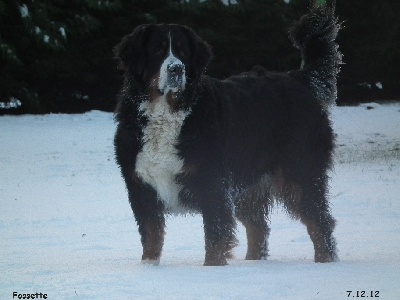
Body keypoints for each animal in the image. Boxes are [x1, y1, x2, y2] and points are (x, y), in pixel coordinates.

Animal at [112, 2, 340, 264]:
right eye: (157, 50)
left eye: (183, 52)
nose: (176, 69)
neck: (167, 113)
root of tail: (299, 78)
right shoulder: (140, 188)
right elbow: (151, 237)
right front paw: (148, 268)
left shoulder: (212, 184)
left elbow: (215, 237)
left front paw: (212, 269)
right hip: (247, 184)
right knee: (259, 228)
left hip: (300, 173)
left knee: (320, 222)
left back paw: (324, 262)